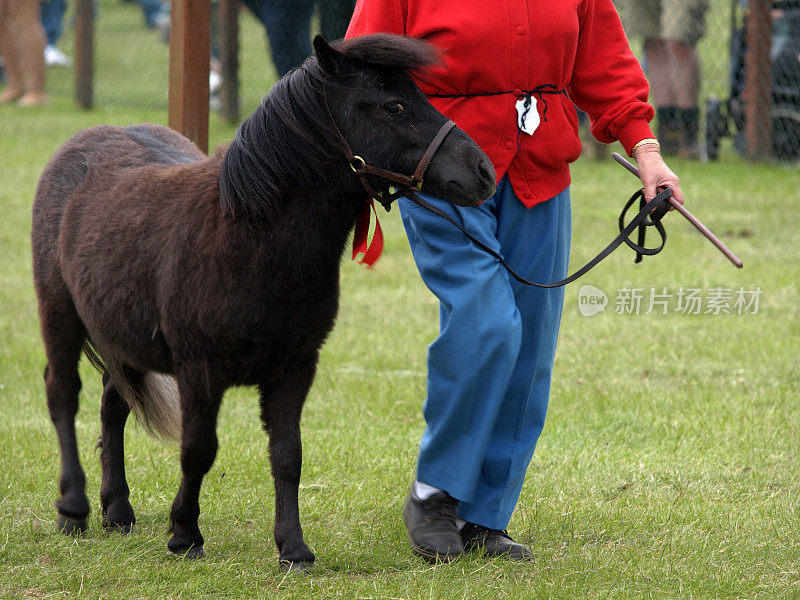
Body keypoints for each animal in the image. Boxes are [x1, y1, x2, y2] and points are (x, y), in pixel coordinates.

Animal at [32, 35, 494, 568]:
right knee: (63, 395)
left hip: (122, 338)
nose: (483, 172)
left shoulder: (295, 367)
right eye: (394, 105)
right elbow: (198, 450)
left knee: (113, 405)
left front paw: (293, 547)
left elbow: (288, 455)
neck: (248, 237)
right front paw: (185, 534)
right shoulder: (199, 369)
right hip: (60, 315)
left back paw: (117, 511)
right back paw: (73, 509)